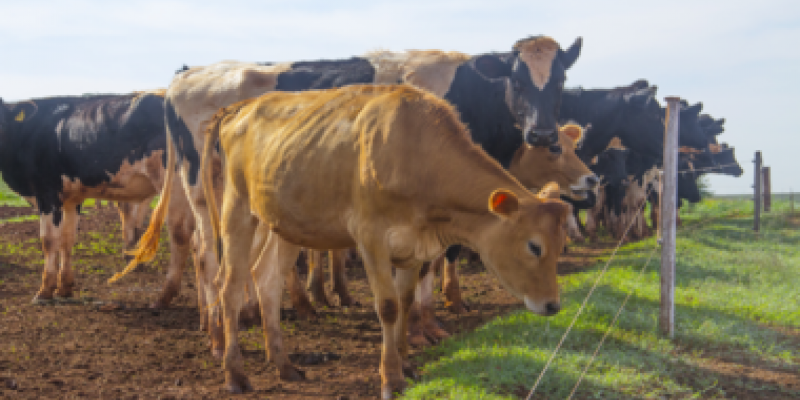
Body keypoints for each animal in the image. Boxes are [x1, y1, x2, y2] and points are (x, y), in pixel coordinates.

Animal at [0, 92, 179, 303]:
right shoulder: (71, 199)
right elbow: (67, 239)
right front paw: (64, 289)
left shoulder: (47, 194)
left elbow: (49, 241)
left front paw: (44, 291)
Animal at [112, 36, 589, 355]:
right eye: (517, 80)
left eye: (561, 79)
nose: (542, 133)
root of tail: (184, 77)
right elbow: (427, 263)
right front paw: (421, 328)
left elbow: (430, 259)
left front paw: (427, 324)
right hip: (202, 184)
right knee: (210, 249)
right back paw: (218, 332)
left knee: (201, 245)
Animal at [200, 84, 570, 398]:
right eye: (534, 246)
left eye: (560, 243)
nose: (553, 305)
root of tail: (242, 106)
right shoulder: (371, 238)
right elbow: (389, 306)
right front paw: (391, 379)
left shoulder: (414, 247)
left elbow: (405, 301)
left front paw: (405, 363)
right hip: (237, 208)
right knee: (229, 287)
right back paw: (235, 374)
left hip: (286, 222)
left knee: (266, 280)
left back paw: (284, 365)